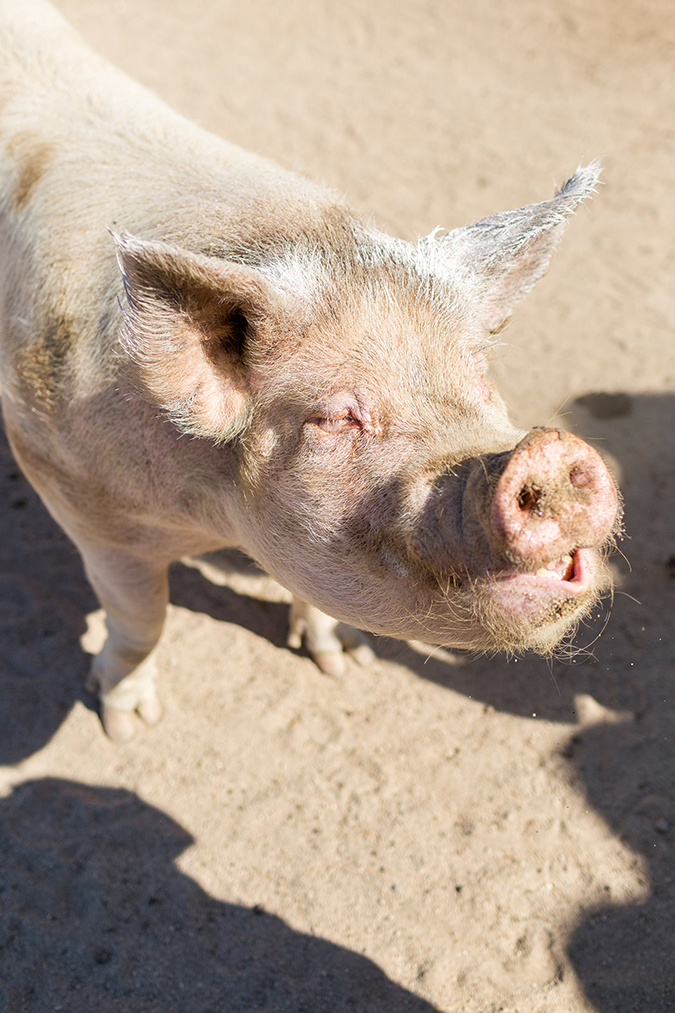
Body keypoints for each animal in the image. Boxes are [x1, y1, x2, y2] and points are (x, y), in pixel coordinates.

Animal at [0, 0, 616, 745]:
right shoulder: (78, 497)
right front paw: (127, 727)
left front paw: (344, 663)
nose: (545, 451)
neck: (211, 515)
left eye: (479, 380)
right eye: (337, 417)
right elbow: (142, 616)